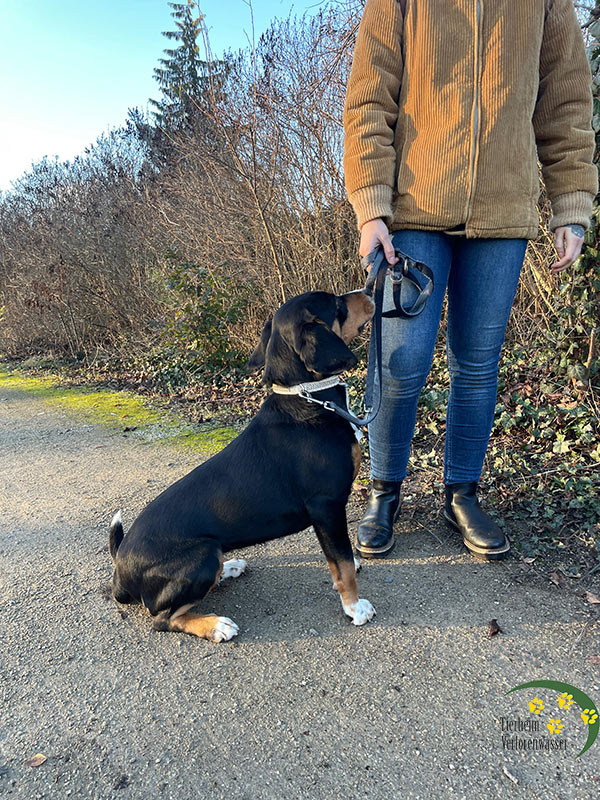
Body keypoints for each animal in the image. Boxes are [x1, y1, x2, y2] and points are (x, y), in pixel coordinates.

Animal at [109, 289, 376, 641]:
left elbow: (340, 556)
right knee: (163, 618)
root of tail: (121, 571)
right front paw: (354, 607)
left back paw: (230, 567)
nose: (370, 290)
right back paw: (214, 625)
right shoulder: (326, 506)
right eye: (336, 304)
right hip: (203, 555)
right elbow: (342, 565)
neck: (307, 399)